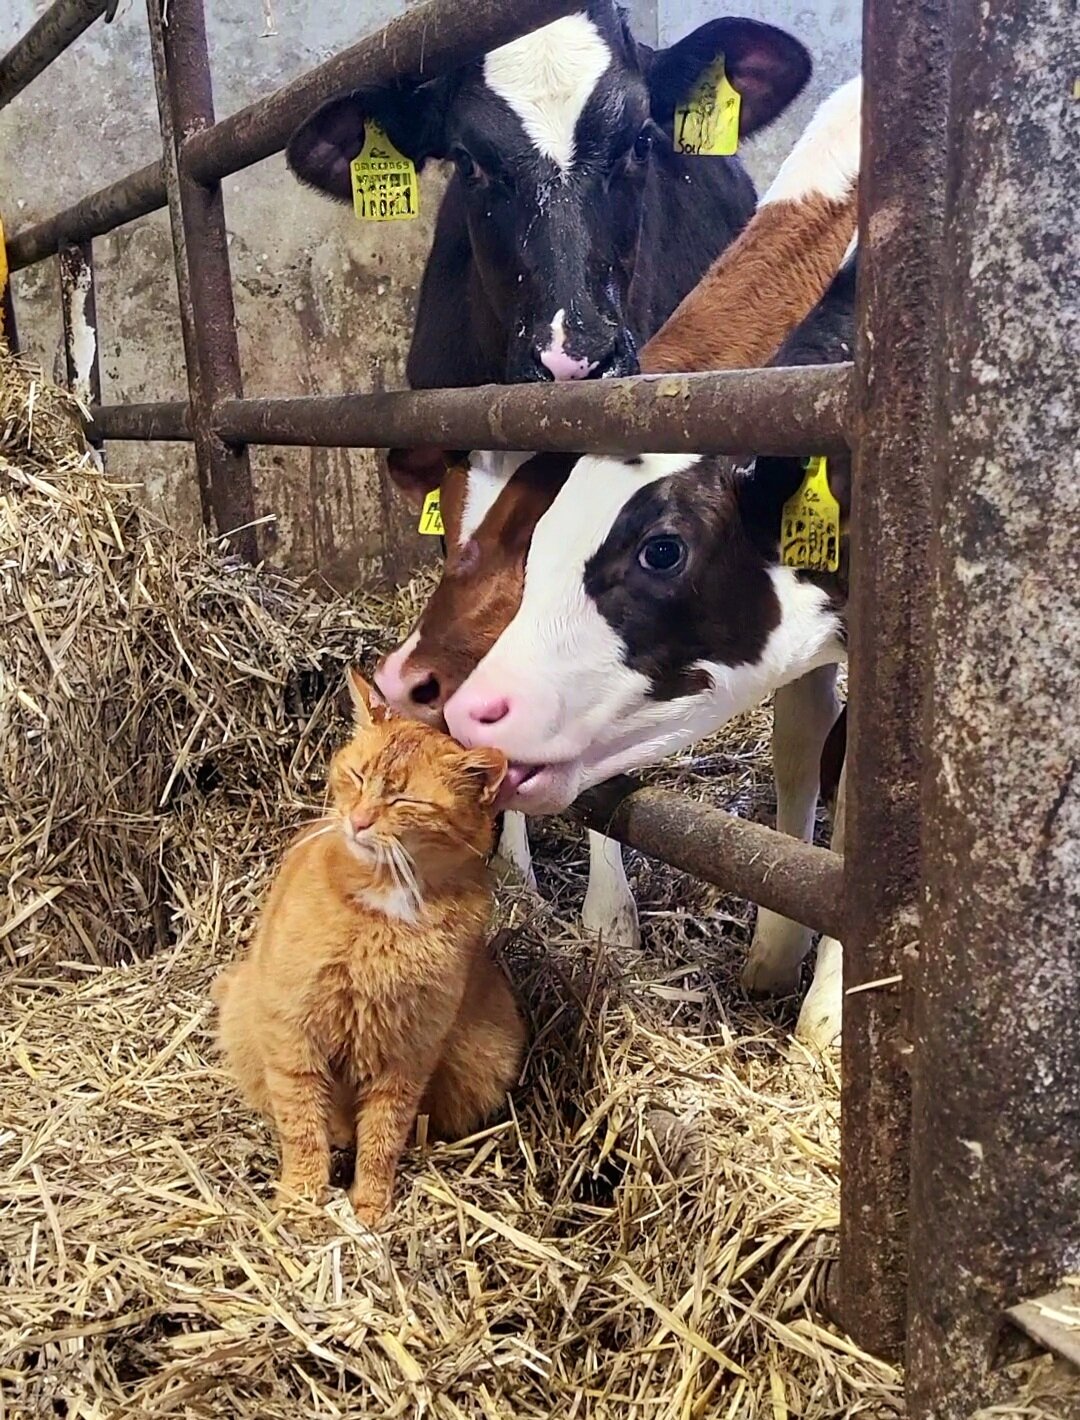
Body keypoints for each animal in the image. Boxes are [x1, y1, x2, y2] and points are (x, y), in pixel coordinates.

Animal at [211, 670, 527, 1226]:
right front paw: (302, 1198)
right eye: (357, 777)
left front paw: (370, 1206)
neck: (383, 905)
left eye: (405, 802)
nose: (358, 821)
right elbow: (302, 1124)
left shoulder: (406, 1054)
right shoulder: (294, 1031)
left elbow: (383, 1135)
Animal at [371, 77, 857, 1022]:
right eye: (457, 534)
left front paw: (825, 1015)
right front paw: (776, 949)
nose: (408, 682)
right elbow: (799, 752)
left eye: (659, 552)